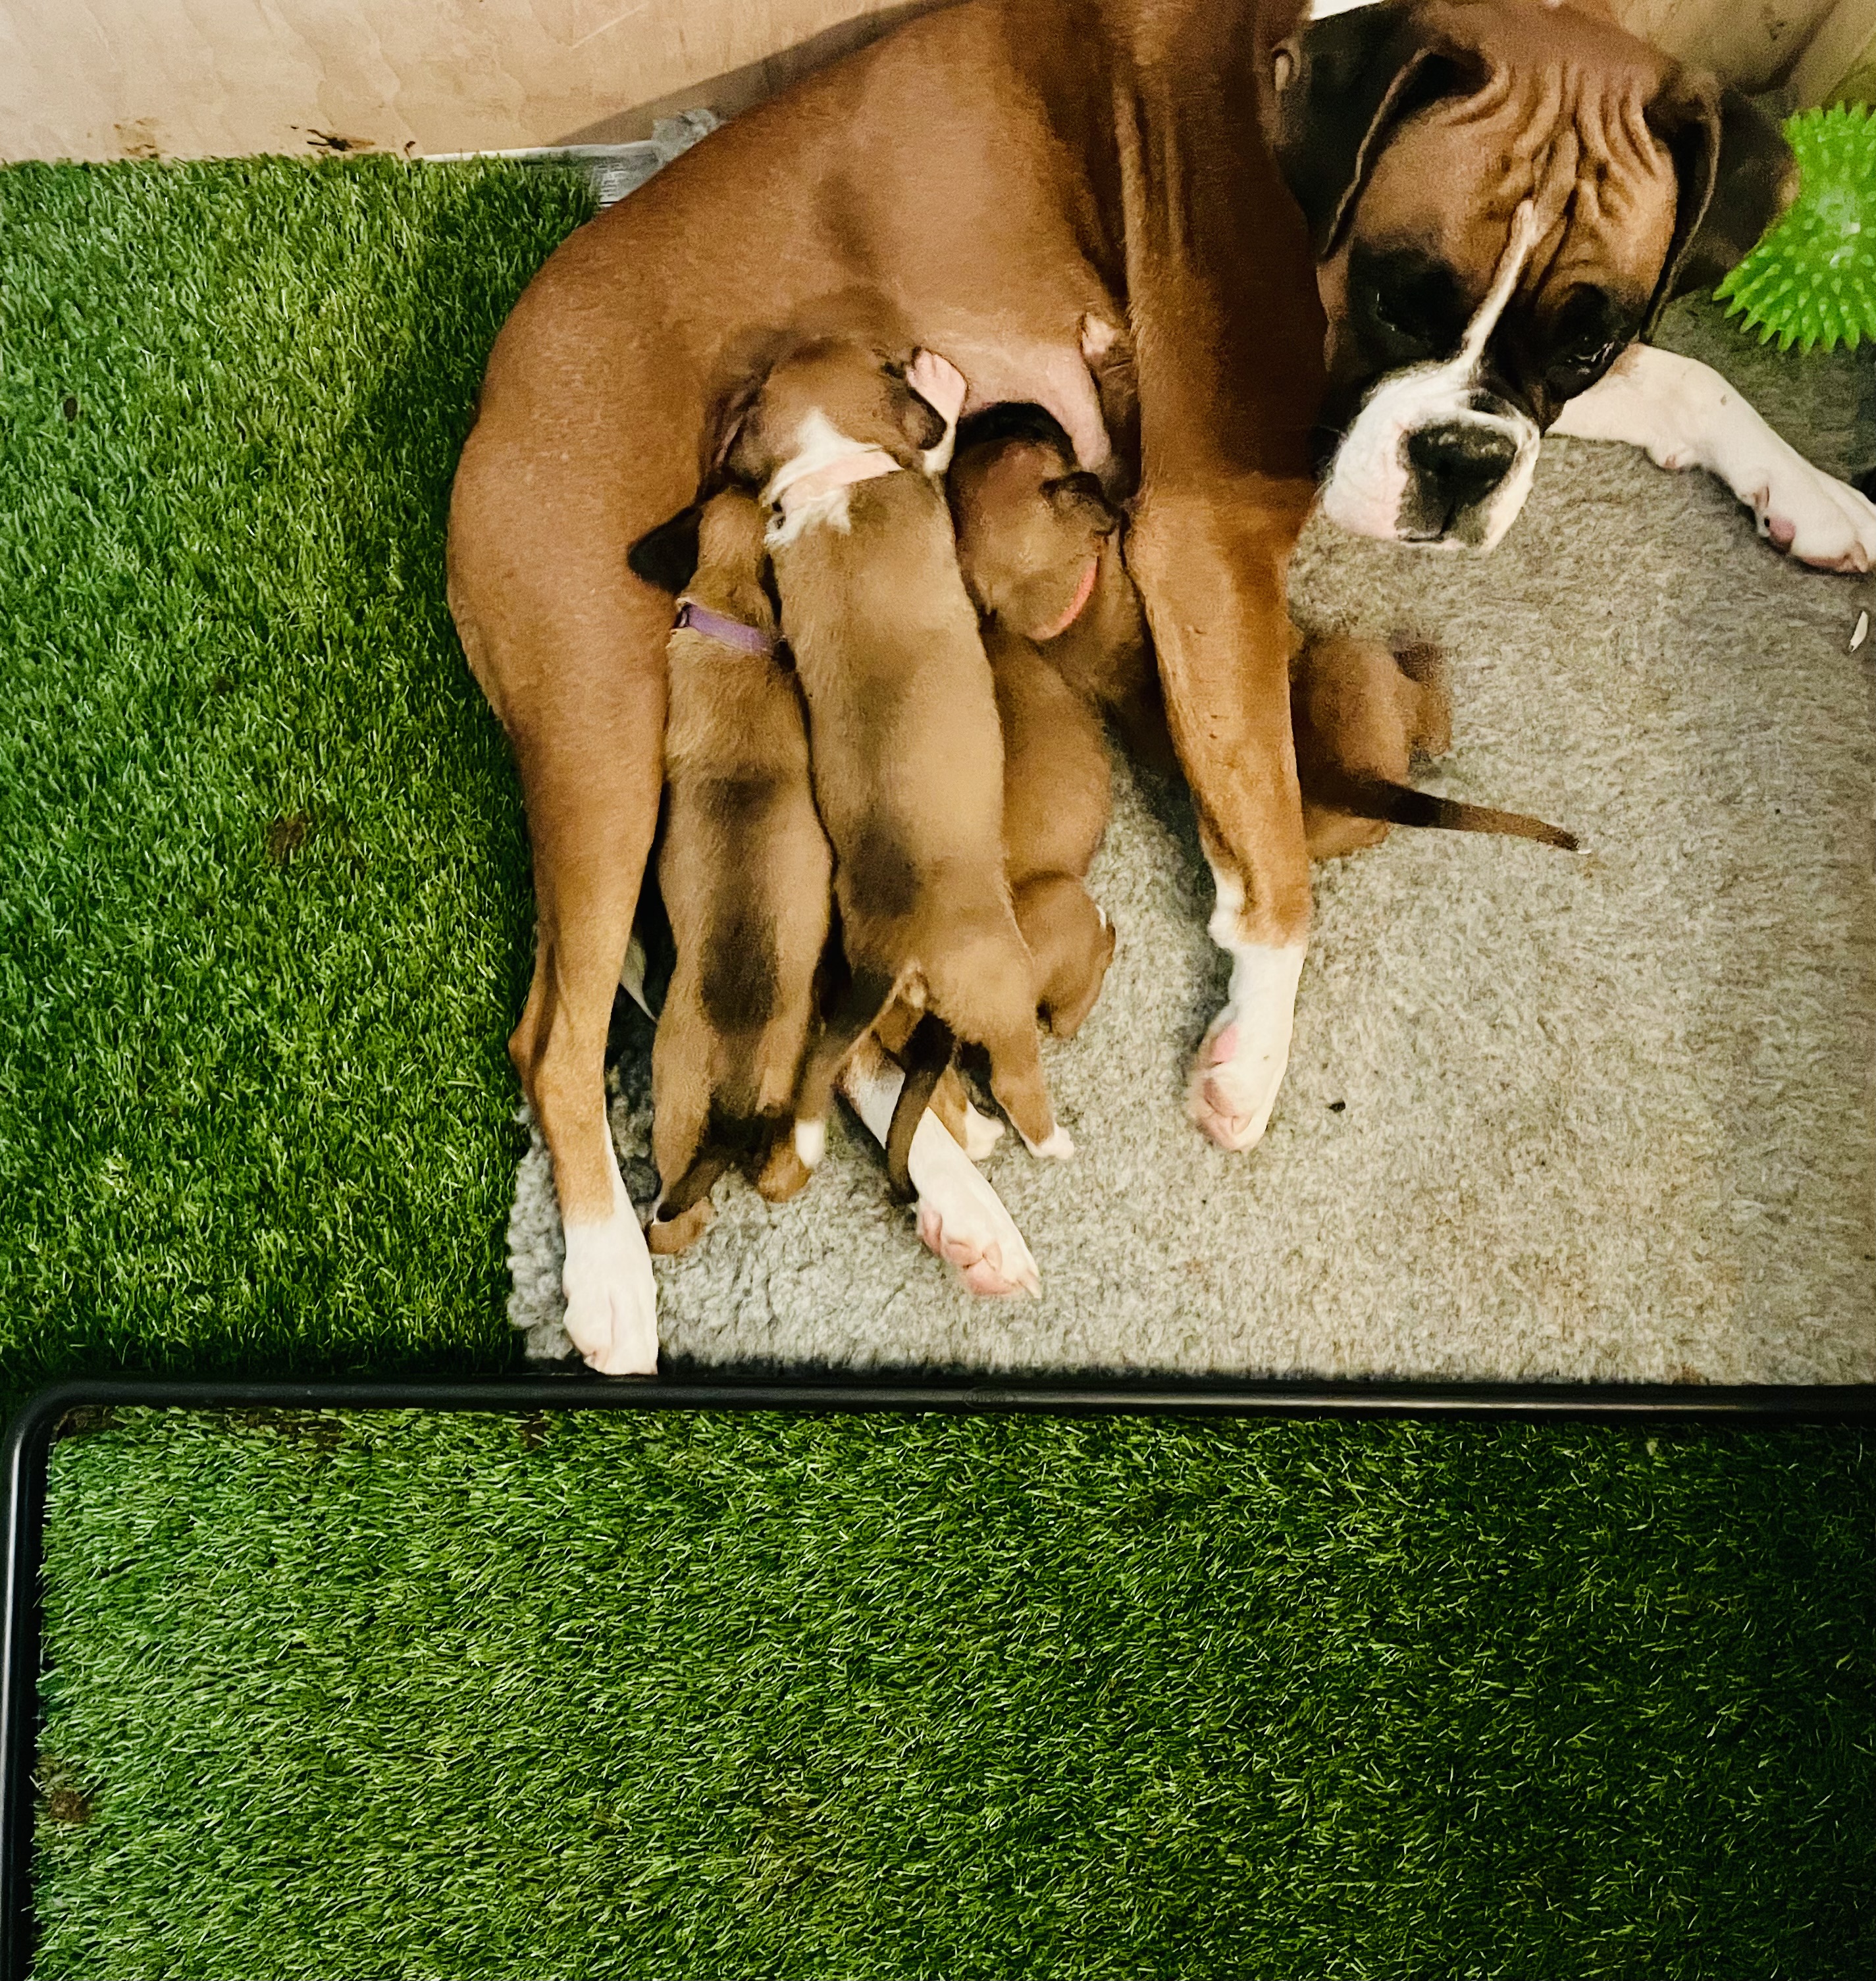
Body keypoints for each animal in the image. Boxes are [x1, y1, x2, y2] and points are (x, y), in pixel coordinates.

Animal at [717, 329, 1070, 1157]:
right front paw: (939, 384)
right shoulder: (925, 486)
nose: (909, 353)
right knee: (1014, 1078)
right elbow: (936, 452)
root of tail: (891, 958)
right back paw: (1050, 1139)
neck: (829, 474)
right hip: (1001, 980)